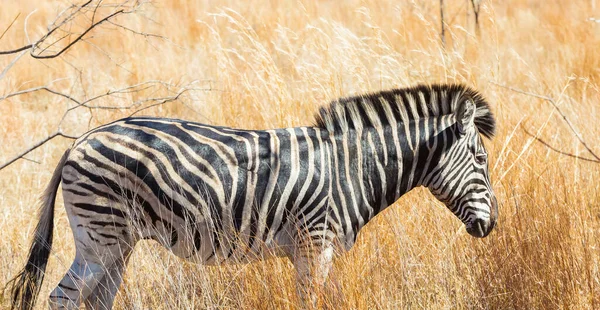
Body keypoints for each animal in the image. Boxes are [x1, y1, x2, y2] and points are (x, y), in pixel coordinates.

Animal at [7, 83, 496, 308]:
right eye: (481, 160)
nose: (491, 226)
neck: (351, 169)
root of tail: (80, 139)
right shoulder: (314, 244)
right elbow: (310, 303)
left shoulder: (313, 250)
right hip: (100, 238)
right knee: (62, 298)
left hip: (117, 243)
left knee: (95, 299)